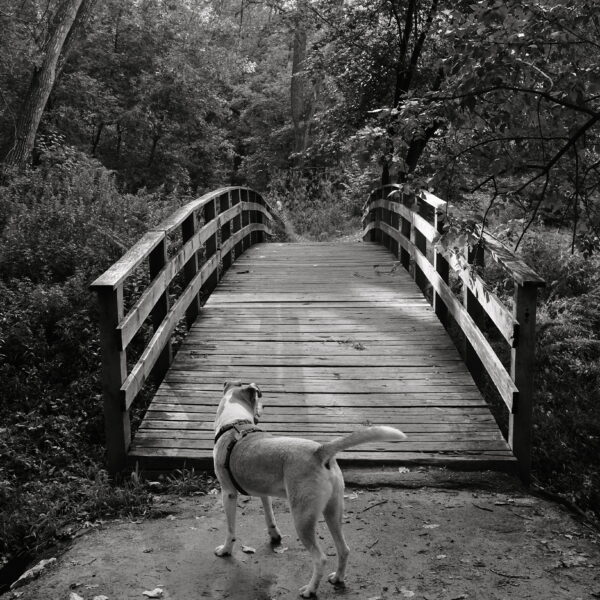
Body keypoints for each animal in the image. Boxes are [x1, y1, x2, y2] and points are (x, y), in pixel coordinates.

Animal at [213, 382, 406, 596]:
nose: (265, 405)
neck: (236, 421)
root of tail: (319, 451)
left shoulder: (228, 494)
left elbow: (230, 529)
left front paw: (225, 550)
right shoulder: (265, 494)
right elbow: (270, 517)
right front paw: (274, 536)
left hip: (302, 519)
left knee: (320, 558)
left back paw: (310, 590)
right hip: (333, 512)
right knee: (344, 549)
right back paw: (337, 578)